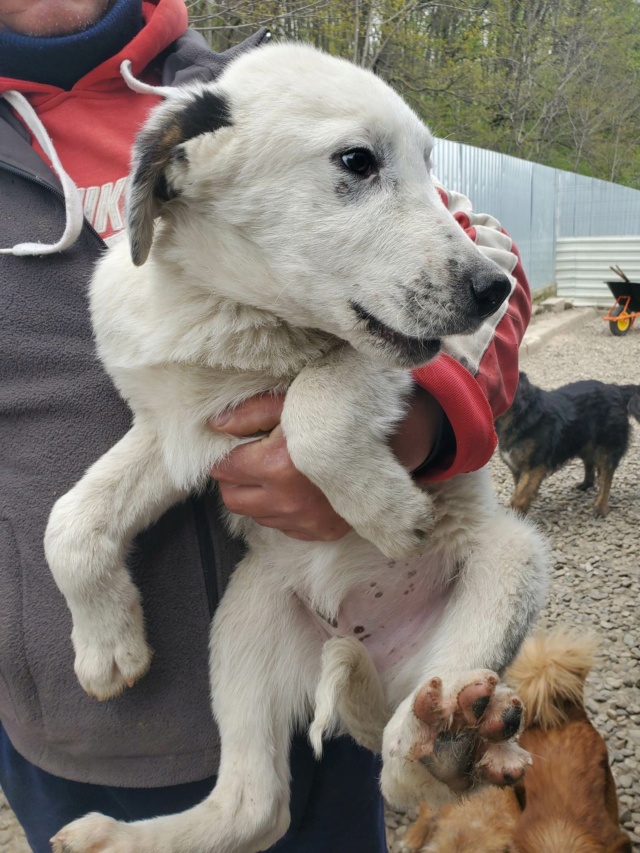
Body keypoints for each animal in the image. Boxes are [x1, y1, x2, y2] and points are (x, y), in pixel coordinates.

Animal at [496, 372, 640, 512]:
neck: (520, 415)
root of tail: (617, 389)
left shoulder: (534, 466)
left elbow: (519, 497)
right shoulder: (517, 467)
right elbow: (520, 490)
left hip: (608, 446)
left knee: (606, 478)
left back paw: (600, 507)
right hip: (584, 441)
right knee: (590, 463)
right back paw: (586, 484)